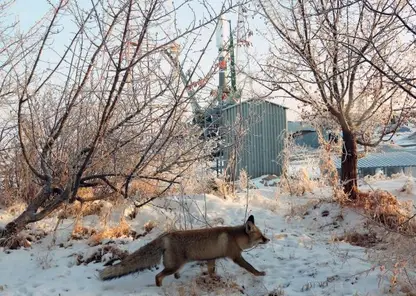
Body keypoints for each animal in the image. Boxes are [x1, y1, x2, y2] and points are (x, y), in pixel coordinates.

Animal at [97, 215, 270, 286]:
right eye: (261, 236)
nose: (268, 240)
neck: (234, 238)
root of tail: (165, 235)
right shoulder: (236, 257)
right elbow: (251, 268)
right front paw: (260, 274)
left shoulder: (211, 258)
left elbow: (212, 272)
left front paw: (214, 279)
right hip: (174, 265)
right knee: (158, 276)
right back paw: (160, 287)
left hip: (176, 265)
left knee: (170, 274)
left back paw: (178, 278)